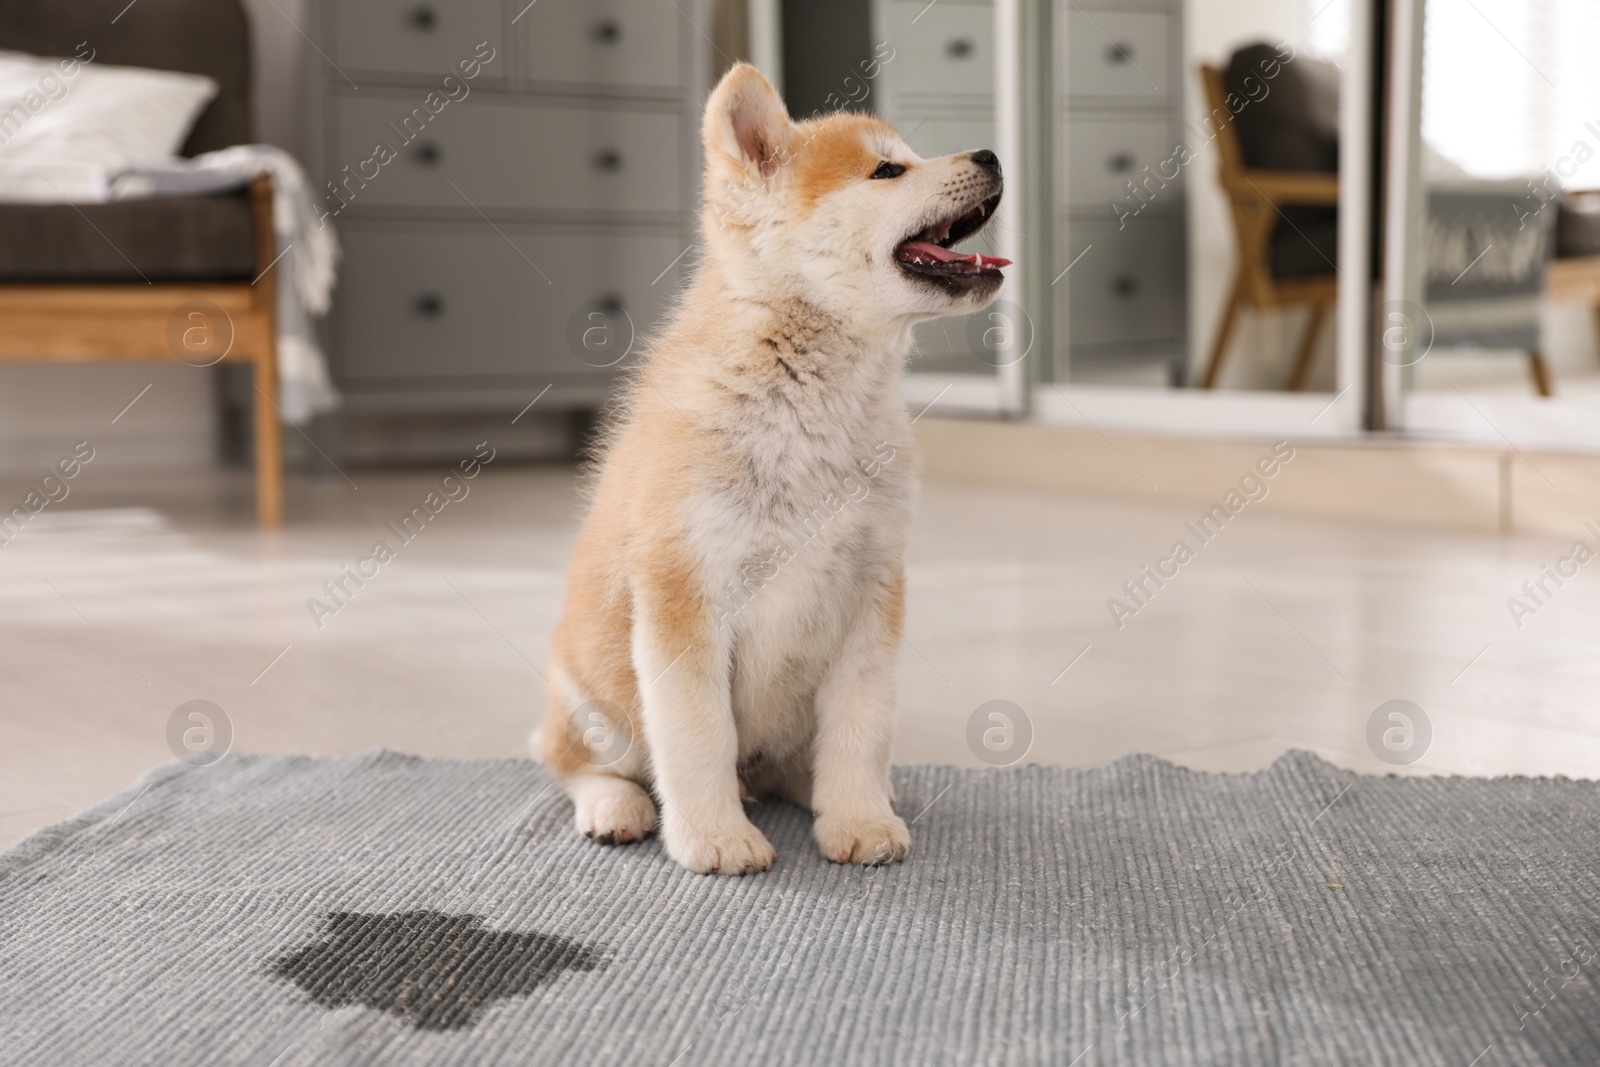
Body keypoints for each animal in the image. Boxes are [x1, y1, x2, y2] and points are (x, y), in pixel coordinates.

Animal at [537, 60, 1011, 876]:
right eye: (888, 170)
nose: (990, 154)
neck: (811, 406)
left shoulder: (871, 590)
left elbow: (861, 728)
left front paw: (858, 818)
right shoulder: (682, 598)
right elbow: (698, 738)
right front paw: (715, 839)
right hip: (590, 699)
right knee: (572, 760)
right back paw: (615, 805)